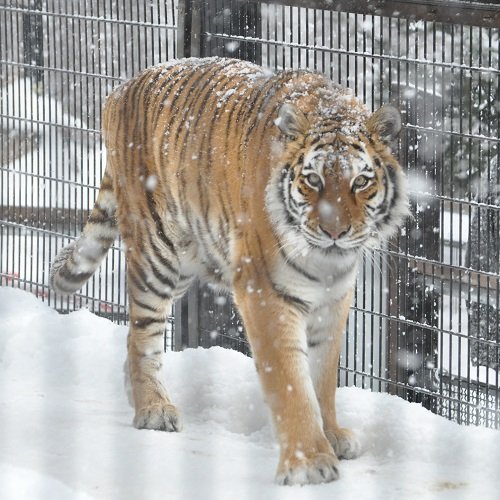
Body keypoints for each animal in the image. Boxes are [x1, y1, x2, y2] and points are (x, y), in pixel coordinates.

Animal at [50, 56, 408, 486]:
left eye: (361, 181)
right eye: (313, 180)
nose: (335, 232)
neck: (325, 263)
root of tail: (123, 86)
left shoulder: (334, 299)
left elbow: (322, 378)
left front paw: (332, 435)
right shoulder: (264, 291)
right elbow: (292, 383)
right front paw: (308, 461)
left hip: (186, 260)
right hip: (157, 254)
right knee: (142, 337)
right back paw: (153, 408)